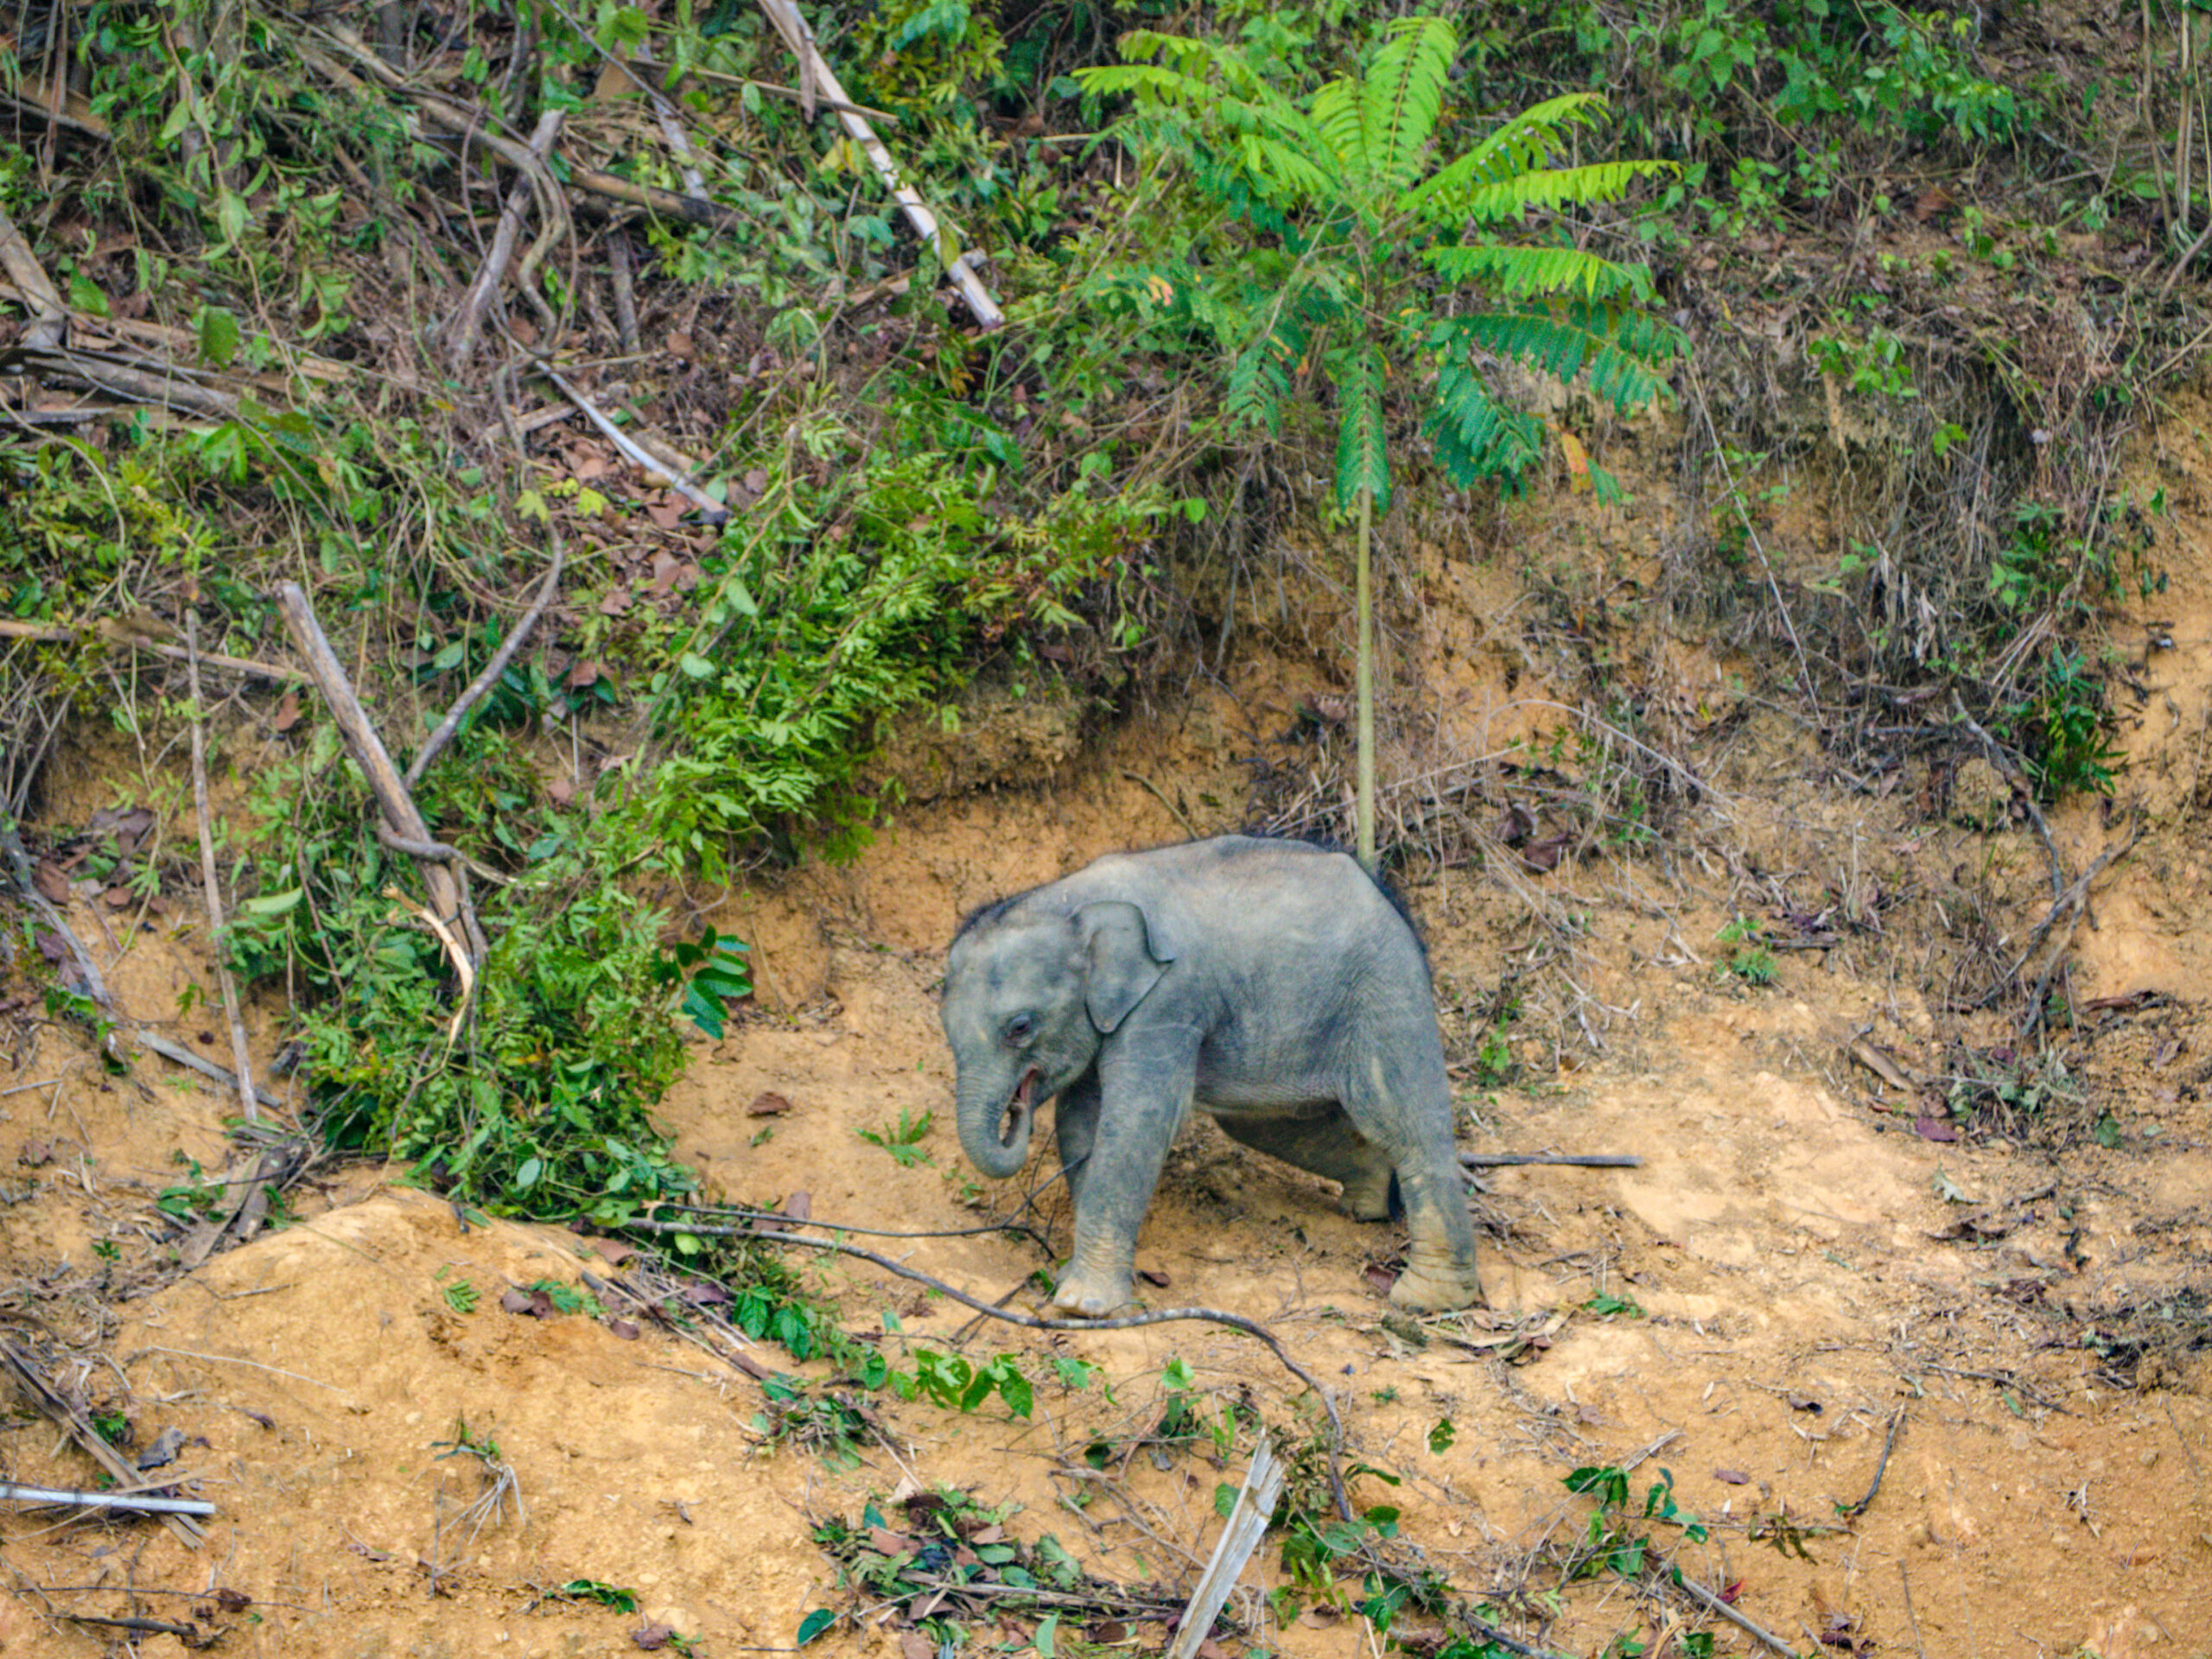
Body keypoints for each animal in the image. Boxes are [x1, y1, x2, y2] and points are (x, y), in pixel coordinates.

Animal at [940, 835, 1484, 1318]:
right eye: (946, 1029)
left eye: (1020, 1027)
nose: (1016, 1107)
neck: (1073, 899)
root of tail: (1387, 896)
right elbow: (1079, 1124)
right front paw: (1070, 1279)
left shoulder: (1169, 1000)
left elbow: (1138, 1120)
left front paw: (1081, 1306)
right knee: (1266, 1125)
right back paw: (1366, 1204)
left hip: (1386, 991)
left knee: (1406, 1126)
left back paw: (1427, 1298)